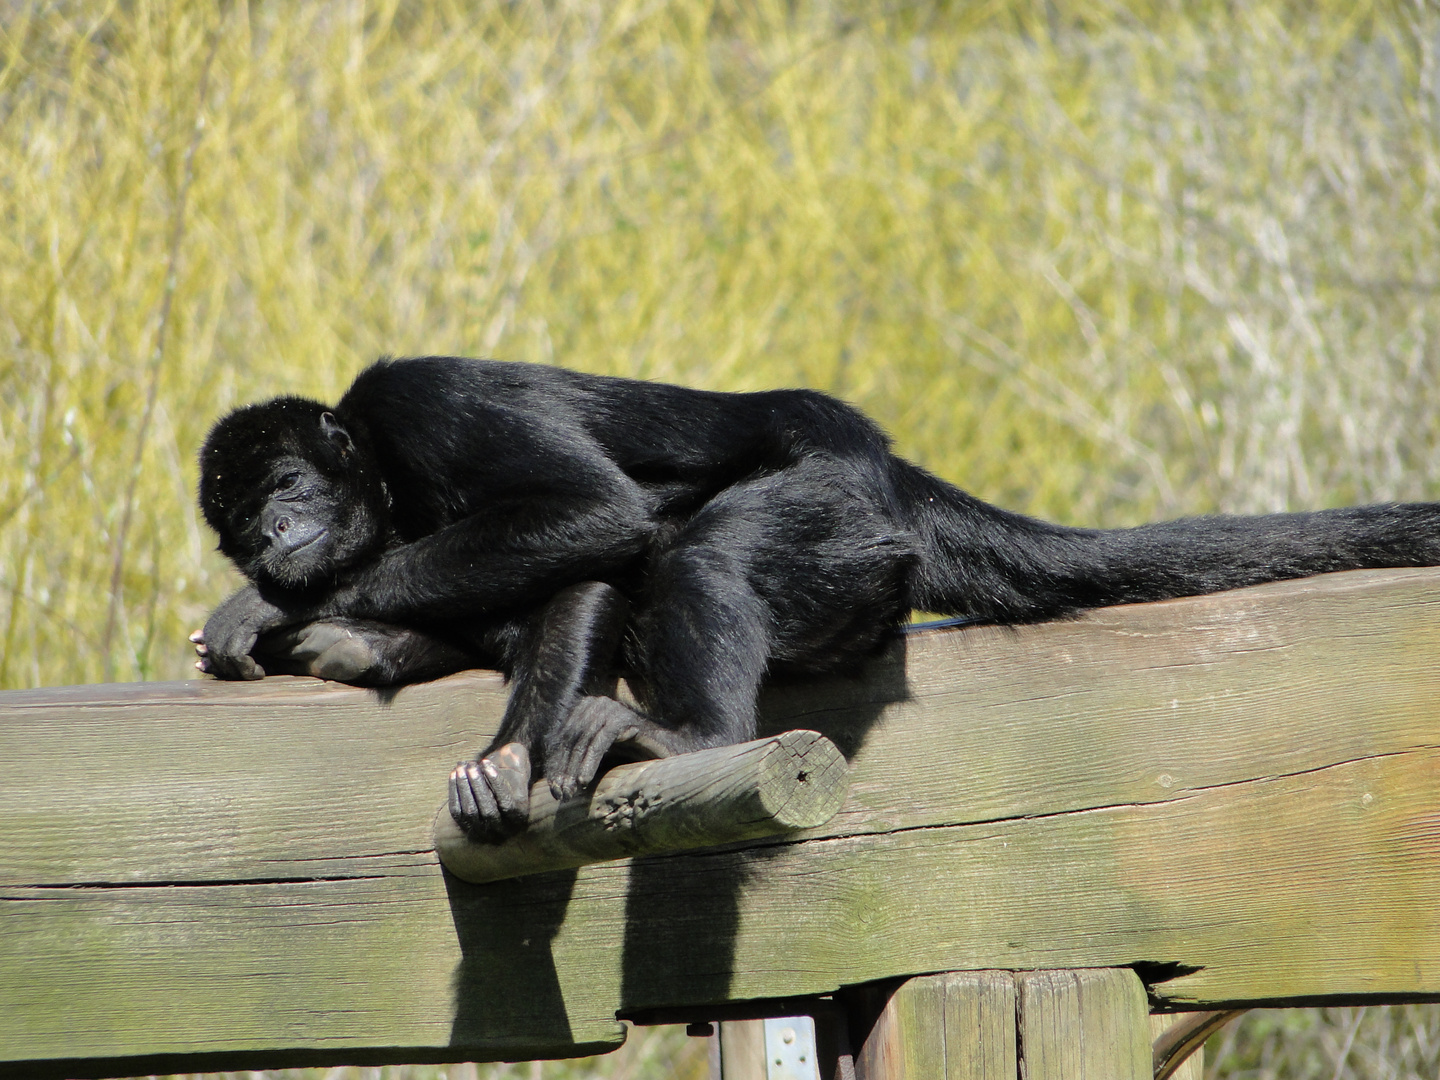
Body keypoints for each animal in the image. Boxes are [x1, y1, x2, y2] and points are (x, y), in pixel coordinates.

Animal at [197, 360, 1440, 840]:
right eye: (243, 518)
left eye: (290, 492)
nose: (275, 538)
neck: (384, 484)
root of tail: (884, 468)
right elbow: (577, 581)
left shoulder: (423, 401)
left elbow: (596, 522)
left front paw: (277, 604)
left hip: (836, 522)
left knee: (697, 552)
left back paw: (690, 737)